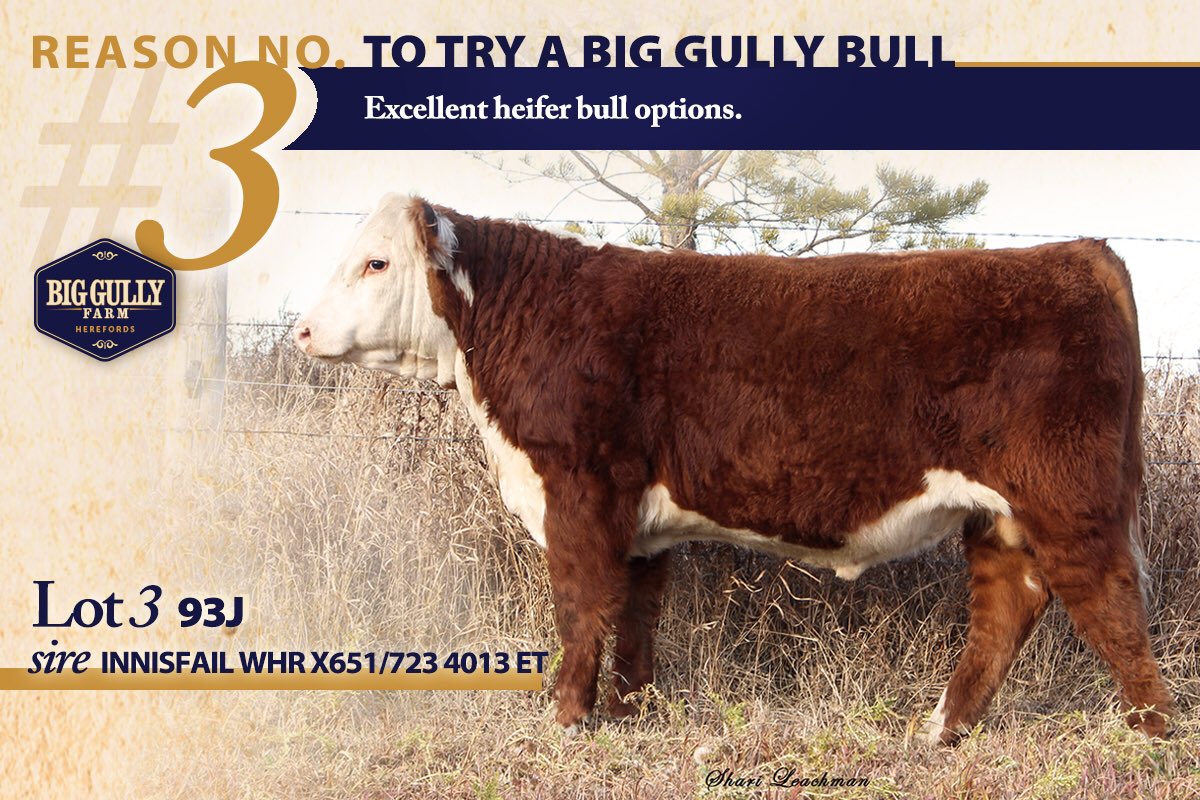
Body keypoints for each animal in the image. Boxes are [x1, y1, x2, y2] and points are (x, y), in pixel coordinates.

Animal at [293, 194, 1174, 744]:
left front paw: (566, 719)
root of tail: (1081, 255)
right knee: (1008, 606)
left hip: (1069, 496)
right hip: (1003, 515)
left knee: (1110, 598)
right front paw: (631, 712)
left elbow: (580, 606)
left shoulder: (579, 490)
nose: (300, 329)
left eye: (375, 264)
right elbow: (636, 611)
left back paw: (1150, 735)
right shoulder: (638, 520)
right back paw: (940, 732)